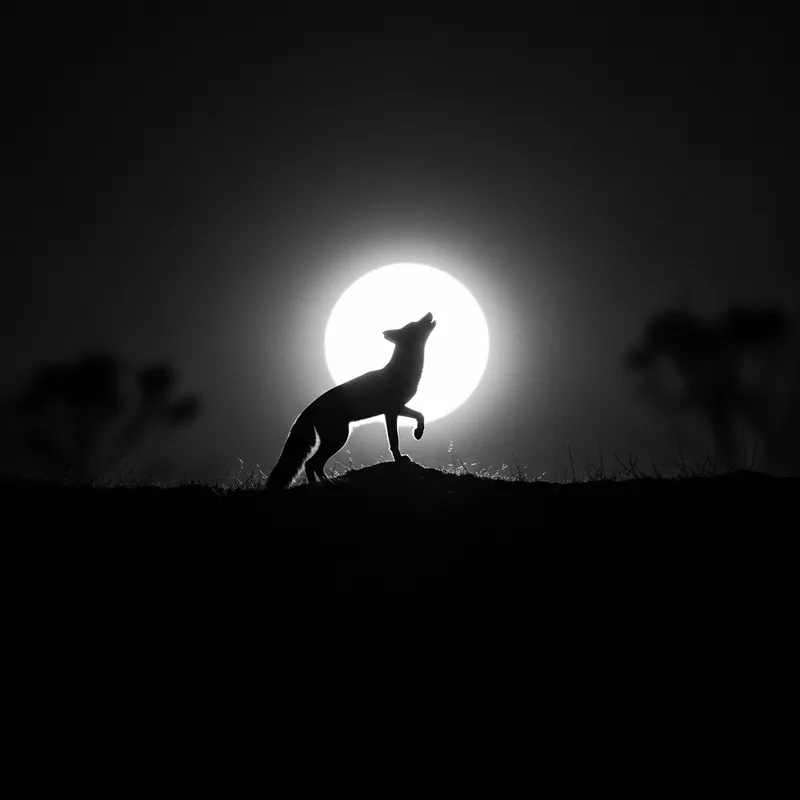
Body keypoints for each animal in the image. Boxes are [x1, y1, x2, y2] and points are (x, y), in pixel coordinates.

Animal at [265, 311, 437, 490]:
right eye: (414, 324)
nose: (429, 313)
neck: (402, 371)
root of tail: (308, 408)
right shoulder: (391, 411)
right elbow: (394, 440)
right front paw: (399, 458)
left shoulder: (398, 408)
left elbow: (420, 415)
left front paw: (418, 432)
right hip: (339, 438)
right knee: (310, 463)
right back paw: (323, 484)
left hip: (336, 439)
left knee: (314, 464)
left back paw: (326, 482)